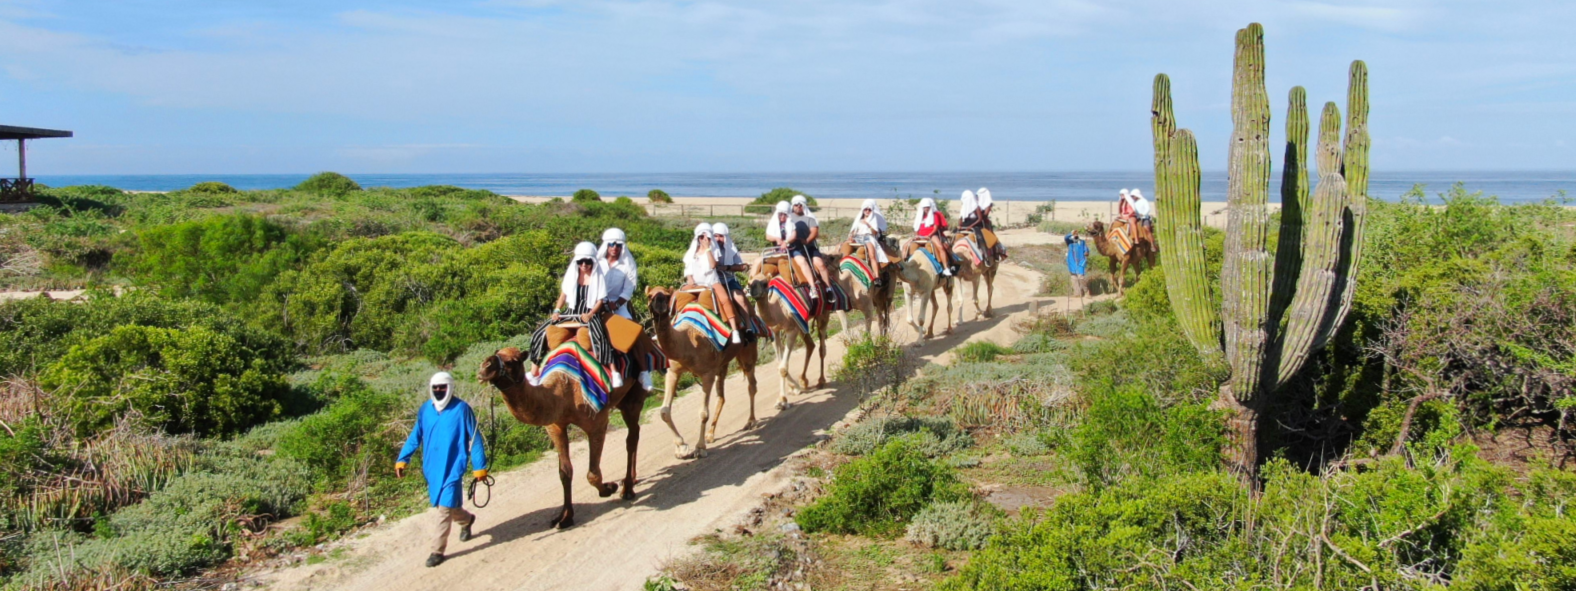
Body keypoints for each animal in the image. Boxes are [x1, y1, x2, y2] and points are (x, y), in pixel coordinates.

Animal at [472, 345, 646, 529]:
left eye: (513, 361)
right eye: (497, 354)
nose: (485, 367)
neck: (561, 395)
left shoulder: (597, 422)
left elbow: (592, 473)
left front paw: (608, 488)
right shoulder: (555, 426)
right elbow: (564, 472)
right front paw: (565, 517)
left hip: (634, 393)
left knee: (632, 436)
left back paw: (627, 489)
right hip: (621, 399)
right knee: (634, 432)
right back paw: (631, 481)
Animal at [639, 286, 762, 463]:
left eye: (668, 296)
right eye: (650, 296)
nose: (659, 302)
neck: (687, 340)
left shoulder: (707, 373)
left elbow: (703, 413)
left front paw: (699, 448)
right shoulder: (673, 371)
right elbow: (664, 412)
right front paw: (681, 448)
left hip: (747, 350)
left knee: (752, 385)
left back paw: (750, 421)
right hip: (722, 363)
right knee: (722, 396)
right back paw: (711, 434)